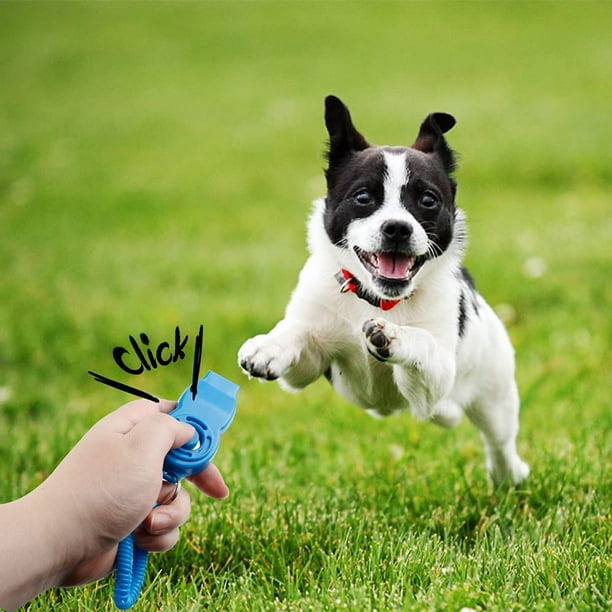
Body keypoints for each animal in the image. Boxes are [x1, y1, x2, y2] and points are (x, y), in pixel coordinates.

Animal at [237, 95, 528, 486]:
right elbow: (297, 331)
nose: (397, 228)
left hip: (494, 394)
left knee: (498, 440)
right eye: (363, 197)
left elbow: (421, 342)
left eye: (428, 200)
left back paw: (507, 474)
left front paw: (392, 336)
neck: (379, 299)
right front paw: (268, 345)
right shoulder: (306, 370)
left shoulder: (436, 376)